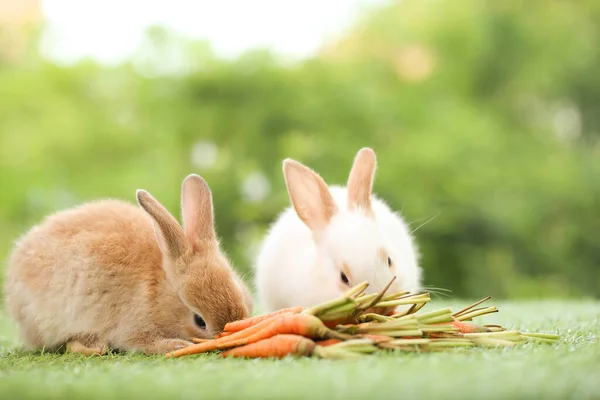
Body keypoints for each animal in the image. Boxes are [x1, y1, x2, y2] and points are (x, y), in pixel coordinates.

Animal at [2, 173, 251, 354]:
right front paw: (179, 345)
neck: (157, 290)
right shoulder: (133, 327)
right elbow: (144, 343)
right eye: (199, 321)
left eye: (240, 291)